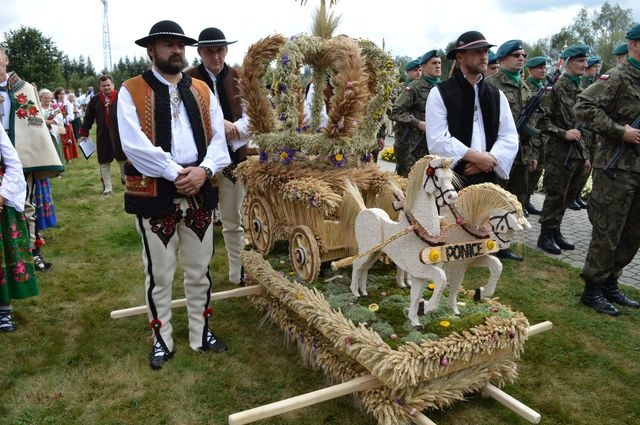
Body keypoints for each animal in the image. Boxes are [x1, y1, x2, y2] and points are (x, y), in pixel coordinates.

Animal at [342, 156, 458, 328]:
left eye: (450, 177)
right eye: (437, 177)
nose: (452, 197)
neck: (422, 231)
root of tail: (364, 210)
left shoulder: (419, 273)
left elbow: (416, 295)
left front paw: (415, 319)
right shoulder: (420, 268)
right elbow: (441, 280)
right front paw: (426, 308)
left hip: (376, 253)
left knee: (365, 268)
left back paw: (364, 292)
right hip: (366, 250)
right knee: (357, 265)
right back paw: (355, 292)